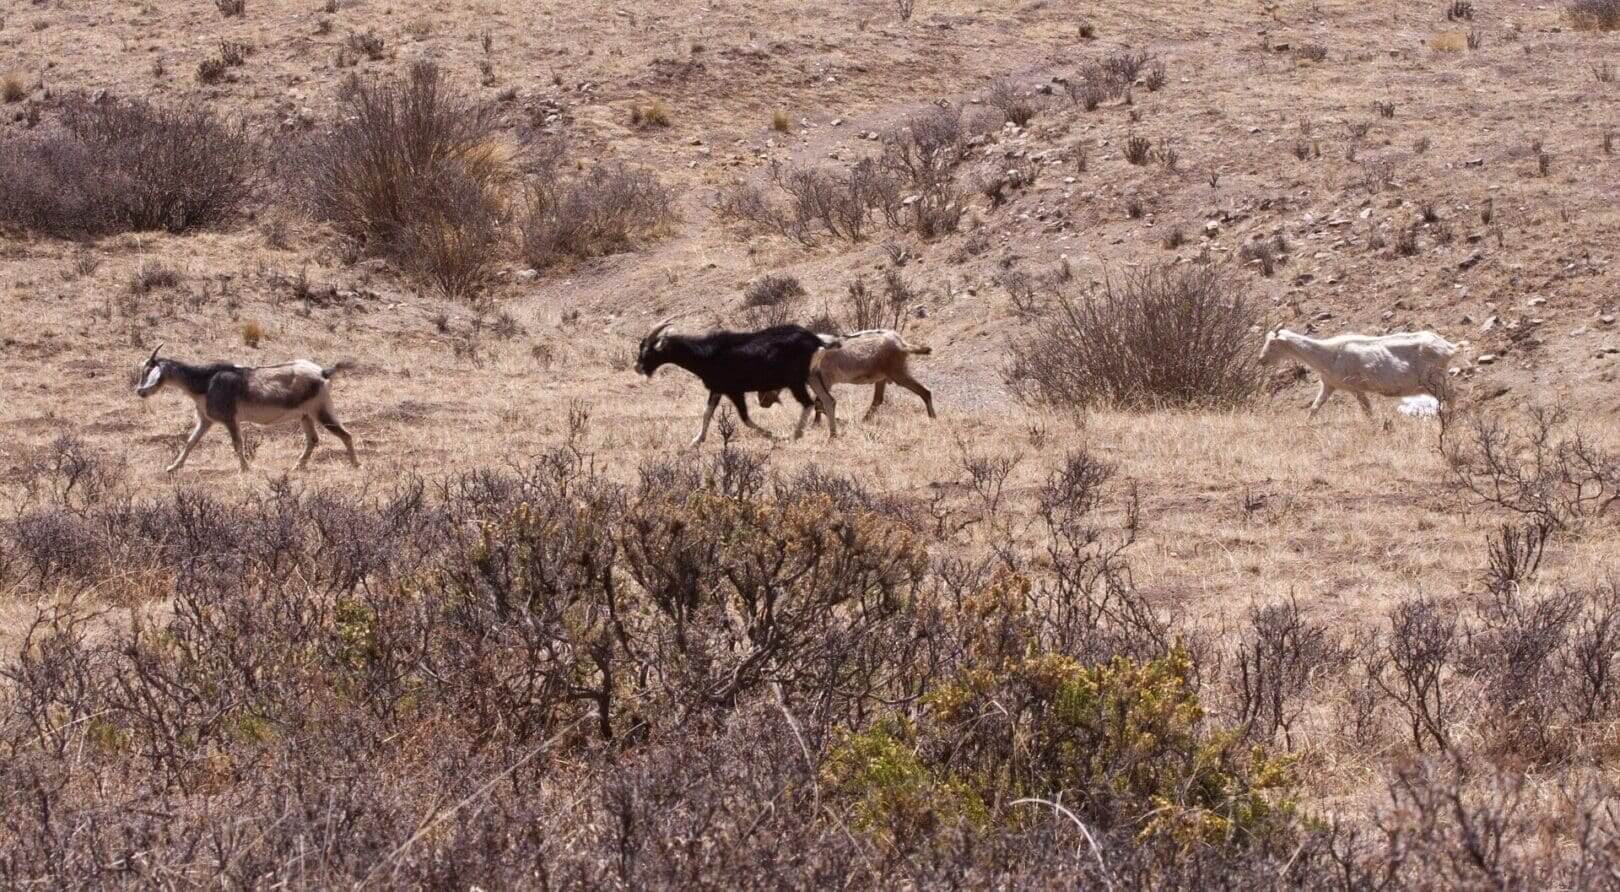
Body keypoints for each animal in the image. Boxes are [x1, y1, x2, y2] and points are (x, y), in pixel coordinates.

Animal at [135, 344, 360, 473]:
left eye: (148, 371)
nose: (140, 391)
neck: (205, 381)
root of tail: (323, 372)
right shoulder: (206, 420)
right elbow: (191, 442)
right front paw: (173, 467)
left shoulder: (229, 418)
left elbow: (237, 444)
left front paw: (244, 469)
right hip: (305, 415)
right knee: (313, 440)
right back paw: (297, 467)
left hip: (320, 410)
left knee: (346, 434)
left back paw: (356, 465)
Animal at [635, 320, 839, 446]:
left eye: (648, 351)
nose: (638, 367)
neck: (705, 353)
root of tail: (816, 342)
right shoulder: (717, 389)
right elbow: (707, 413)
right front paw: (696, 441)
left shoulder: (734, 391)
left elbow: (745, 418)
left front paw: (770, 434)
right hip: (812, 375)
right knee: (828, 400)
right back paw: (832, 435)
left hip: (795, 380)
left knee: (808, 403)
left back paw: (795, 435)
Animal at [758, 329, 935, 423]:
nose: (761, 403)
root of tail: (901, 342)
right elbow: (820, 403)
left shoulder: (826, 380)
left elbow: (820, 402)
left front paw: (818, 424)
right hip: (882, 378)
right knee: (877, 400)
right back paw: (864, 420)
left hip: (898, 373)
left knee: (925, 391)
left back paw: (932, 417)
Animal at [1258, 326, 1456, 418]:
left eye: (1273, 343)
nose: (1261, 360)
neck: (1328, 354)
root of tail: (1448, 347)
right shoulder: (1329, 385)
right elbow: (1314, 407)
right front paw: (1306, 426)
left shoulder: (1355, 387)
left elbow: (1367, 410)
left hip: (1435, 379)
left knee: (1451, 397)